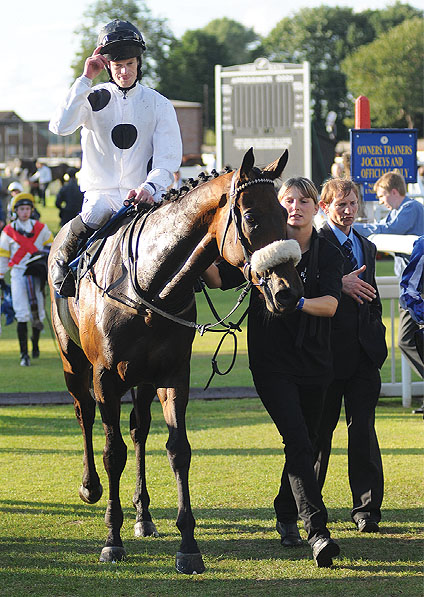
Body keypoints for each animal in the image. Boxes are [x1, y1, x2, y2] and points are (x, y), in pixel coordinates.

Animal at [48, 146, 304, 572]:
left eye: (286, 215)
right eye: (251, 217)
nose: (288, 291)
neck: (146, 286)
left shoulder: (172, 375)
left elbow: (178, 450)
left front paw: (188, 546)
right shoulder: (106, 377)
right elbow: (112, 452)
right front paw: (112, 540)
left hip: (142, 379)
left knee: (139, 429)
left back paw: (143, 516)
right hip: (73, 362)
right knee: (84, 412)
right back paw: (90, 487)